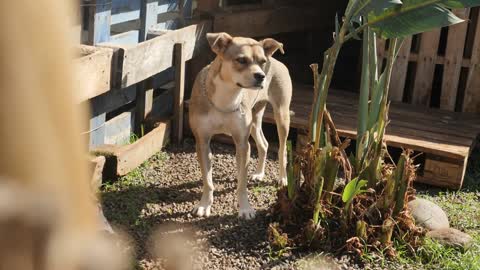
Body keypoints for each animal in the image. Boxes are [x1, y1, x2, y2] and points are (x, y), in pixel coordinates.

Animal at [189, 32, 294, 220]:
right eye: (241, 60)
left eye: (262, 61)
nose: (261, 76)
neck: (226, 97)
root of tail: (277, 60)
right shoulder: (202, 142)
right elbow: (207, 180)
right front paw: (204, 205)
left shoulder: (242, 144)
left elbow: (242, 183)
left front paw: (245, 209)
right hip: (254, 118)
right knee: (264, 144)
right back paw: (259, 174)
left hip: (281, 115)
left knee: (282, 149)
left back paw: (282, 178)